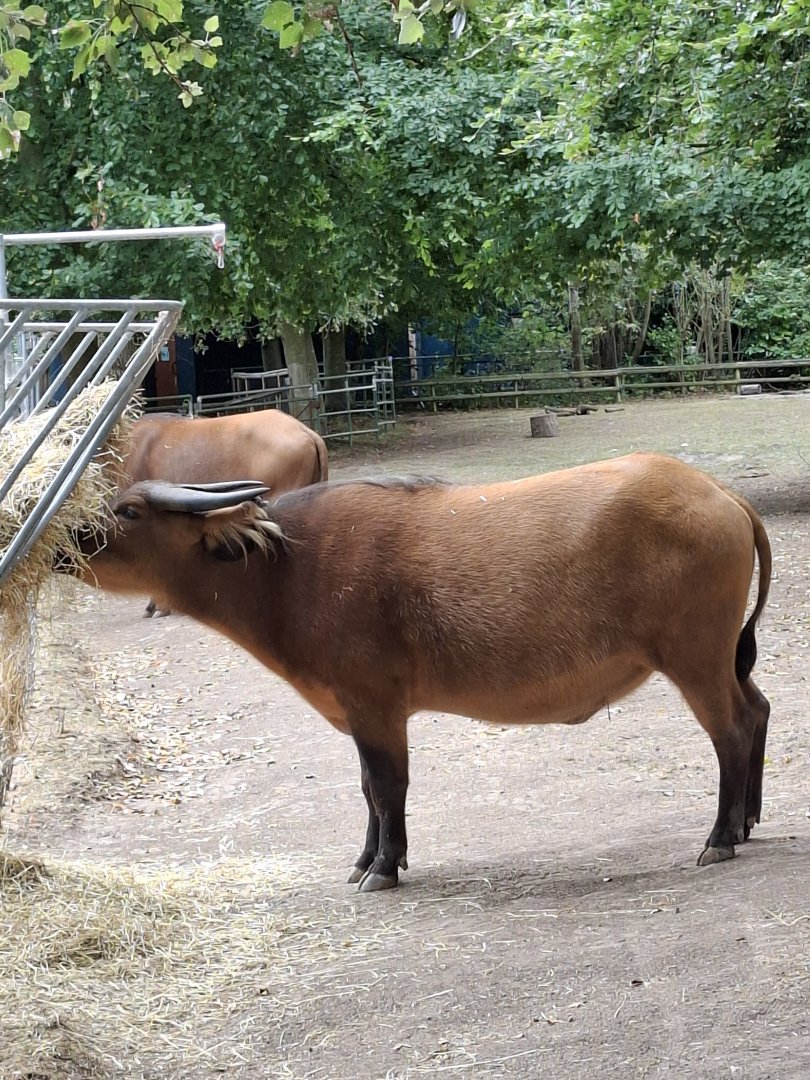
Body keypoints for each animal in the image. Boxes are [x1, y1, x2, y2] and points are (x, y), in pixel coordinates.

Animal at [73, 453, 771, 891]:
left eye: (129, 512)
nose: (68, 537)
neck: (288, 567)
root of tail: (721, 493)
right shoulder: (361, 712)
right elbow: (366, 788)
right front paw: (365, 859)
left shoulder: (374, 706)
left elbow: (386, 786)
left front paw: (383, 868)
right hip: (720, 659)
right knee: (759, 709)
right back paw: (747, 820)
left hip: (695, 660)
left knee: (732, 730)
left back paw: (720, 836)